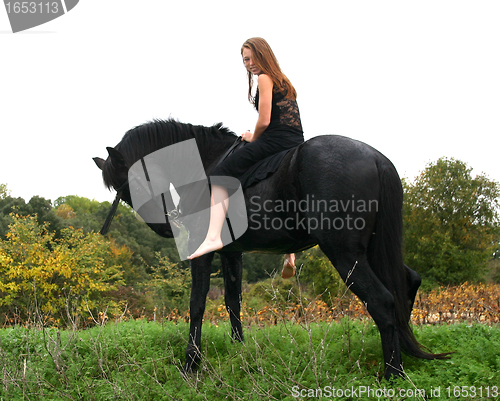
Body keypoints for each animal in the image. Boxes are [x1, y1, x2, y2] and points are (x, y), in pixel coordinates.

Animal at [94, 119, 450, 378]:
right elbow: (232, 301)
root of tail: (375, 157)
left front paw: (191, 363)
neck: (206, 163)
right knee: (408, 283)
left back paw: (393, 373)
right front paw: (239, 349)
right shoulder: (231, 252)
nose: (164, 228)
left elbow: (197, 304)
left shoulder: (203, 251)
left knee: (382, 301)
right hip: (373, 251)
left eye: (131, 182)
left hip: (345, 254)